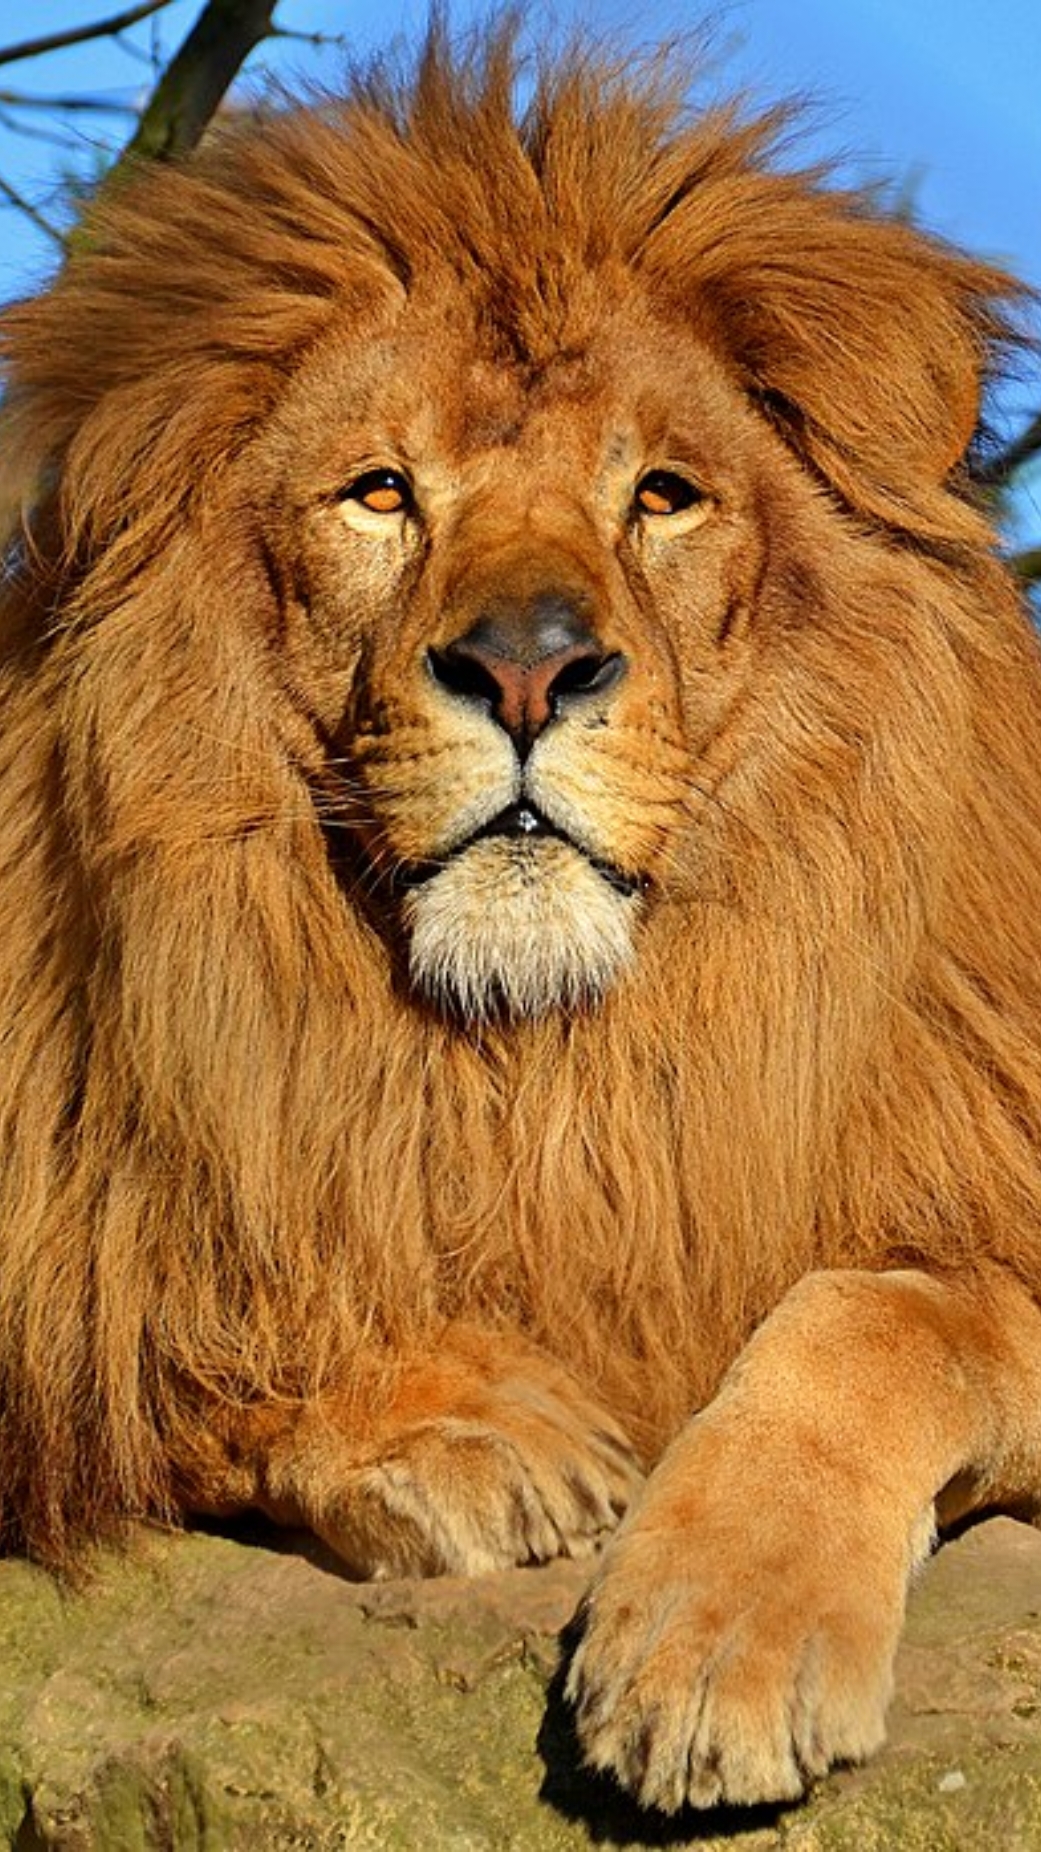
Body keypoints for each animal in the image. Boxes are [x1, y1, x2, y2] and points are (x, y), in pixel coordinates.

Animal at [2, 25, 1037, 1822]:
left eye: (664, 496)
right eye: (379, 494)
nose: (529, 667)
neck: (550, 1068)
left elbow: (887, 1308)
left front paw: (723, 1632)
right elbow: (154, 1324)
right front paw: (459, 1422)